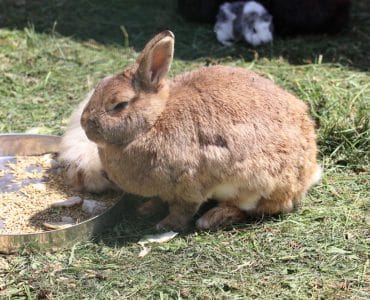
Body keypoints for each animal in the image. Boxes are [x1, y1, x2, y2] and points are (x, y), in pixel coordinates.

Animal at [81, 30, 320, 231]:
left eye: (119, 105)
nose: (84, 124)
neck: (154, 121)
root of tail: (308, 172)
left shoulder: (189, 185)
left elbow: (183, 210)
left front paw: (165, 225)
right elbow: (159, 199)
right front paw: (145, 209)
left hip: (259, 183)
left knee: (257, 208)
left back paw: (213, 217)